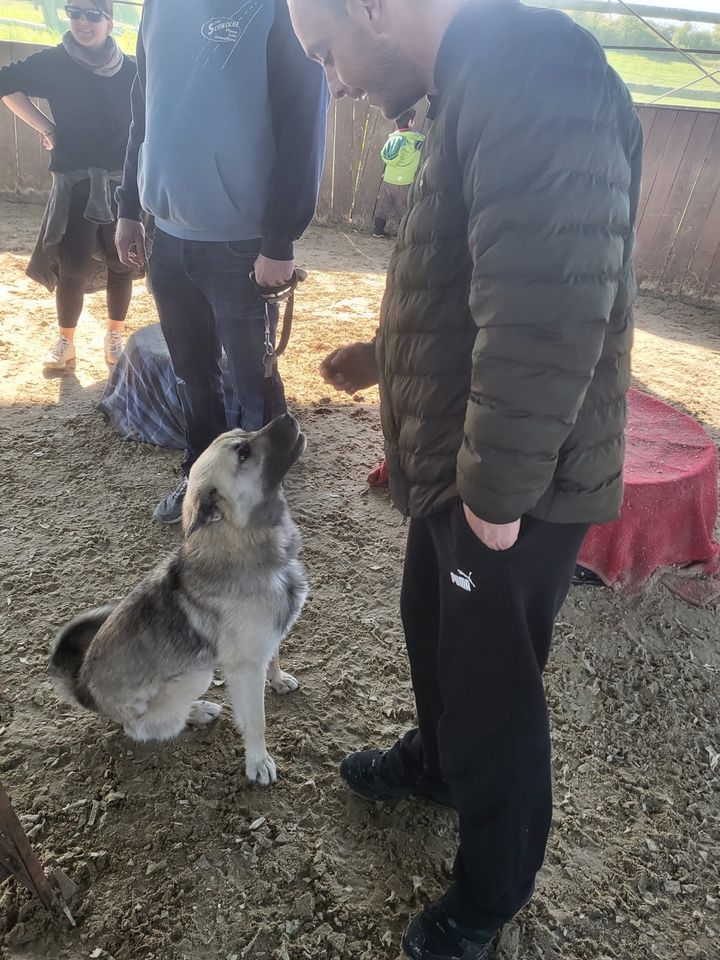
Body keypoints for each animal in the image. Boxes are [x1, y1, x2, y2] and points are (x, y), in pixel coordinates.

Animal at [50, 414, 310, 788]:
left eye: (245, 431)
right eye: (243, 452)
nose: (288, 416)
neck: (245, 543)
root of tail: (85, 689)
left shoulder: (266, 643)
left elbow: (274, 657)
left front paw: (278, 680)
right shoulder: (245, 669)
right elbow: (256, 722)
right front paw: (258, 761)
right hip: (196, 676)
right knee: (140, 728)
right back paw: (196, 712)